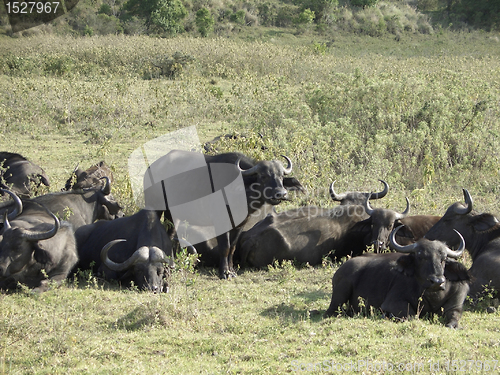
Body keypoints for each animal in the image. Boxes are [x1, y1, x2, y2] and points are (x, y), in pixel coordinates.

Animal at [322, 226, 470, 328]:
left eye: (443, 259)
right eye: (421, 257)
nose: (437, 281)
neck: (433, 296)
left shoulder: (456, 304)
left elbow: (453, 318)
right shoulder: (393, 303)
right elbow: (411, 316)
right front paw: (386, 315)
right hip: (340, 294)